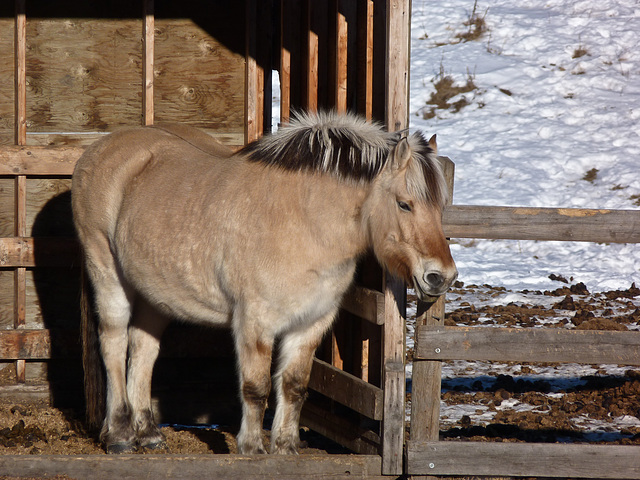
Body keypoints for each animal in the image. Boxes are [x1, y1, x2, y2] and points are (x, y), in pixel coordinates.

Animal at [72, 110, 458, 456]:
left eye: (441, 206)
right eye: (405, 205)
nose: (441, 276)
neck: (303, 222)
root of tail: (101, 147)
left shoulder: (311, 323)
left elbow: (294, 386)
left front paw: (285, 448)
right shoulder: (254, 323)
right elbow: (255, 388)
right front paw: (252, 448)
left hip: (157, 293)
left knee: (142, 349)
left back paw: (149, 434)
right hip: (107, 272)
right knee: (114, 344)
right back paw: (120, 436)